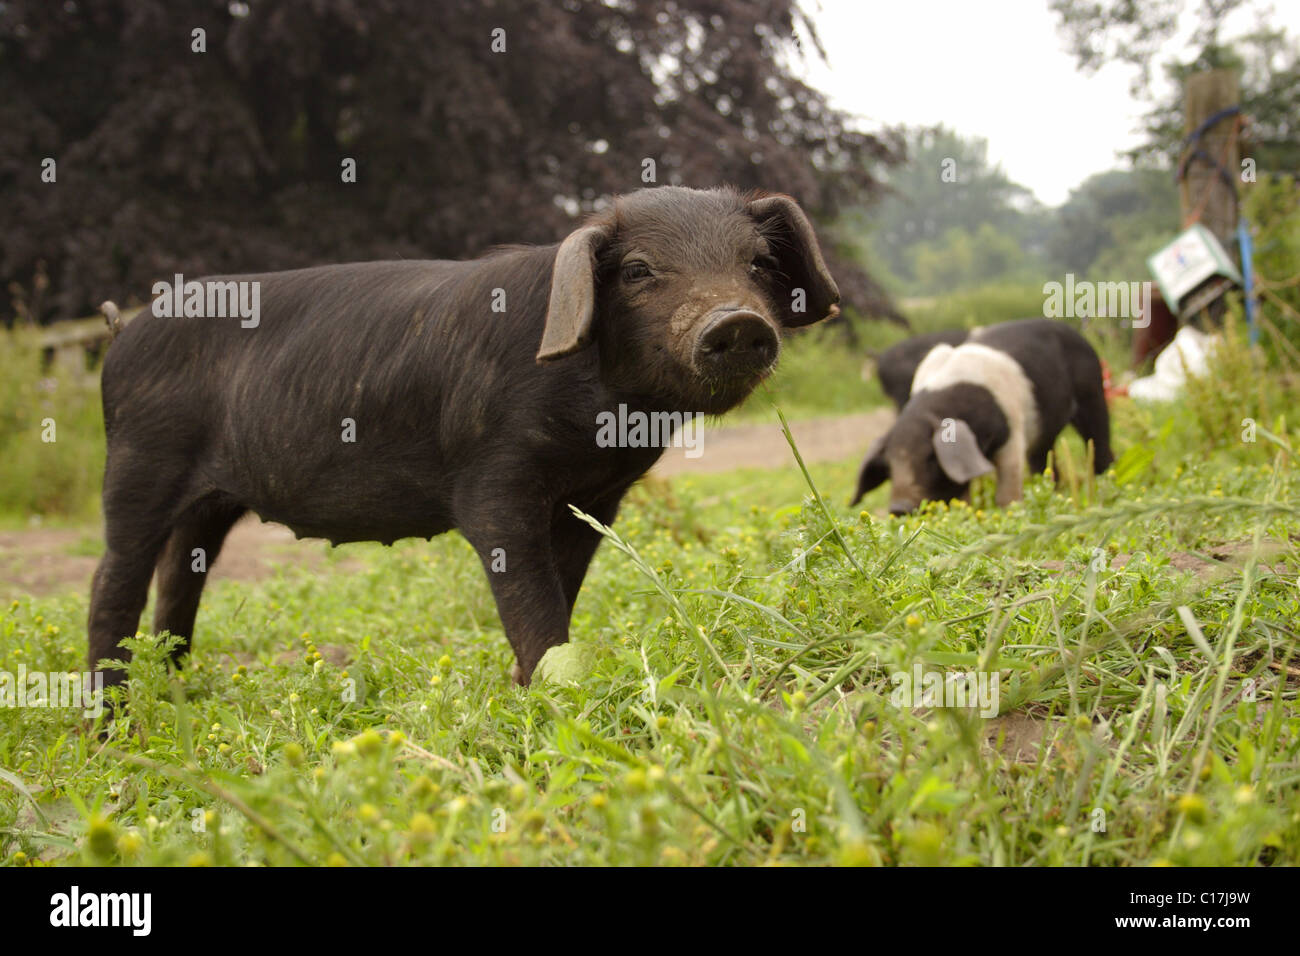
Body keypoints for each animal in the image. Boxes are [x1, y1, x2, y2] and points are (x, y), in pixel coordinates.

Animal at [852, 319, 1118, 515]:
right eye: (889, 464)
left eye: (931, 458)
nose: (899, 508)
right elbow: (963, 495)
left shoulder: (1013, 433)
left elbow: (1007, 491)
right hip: (1045, 435)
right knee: (1044, 464)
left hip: (1093, 392)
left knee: (1101, 448)